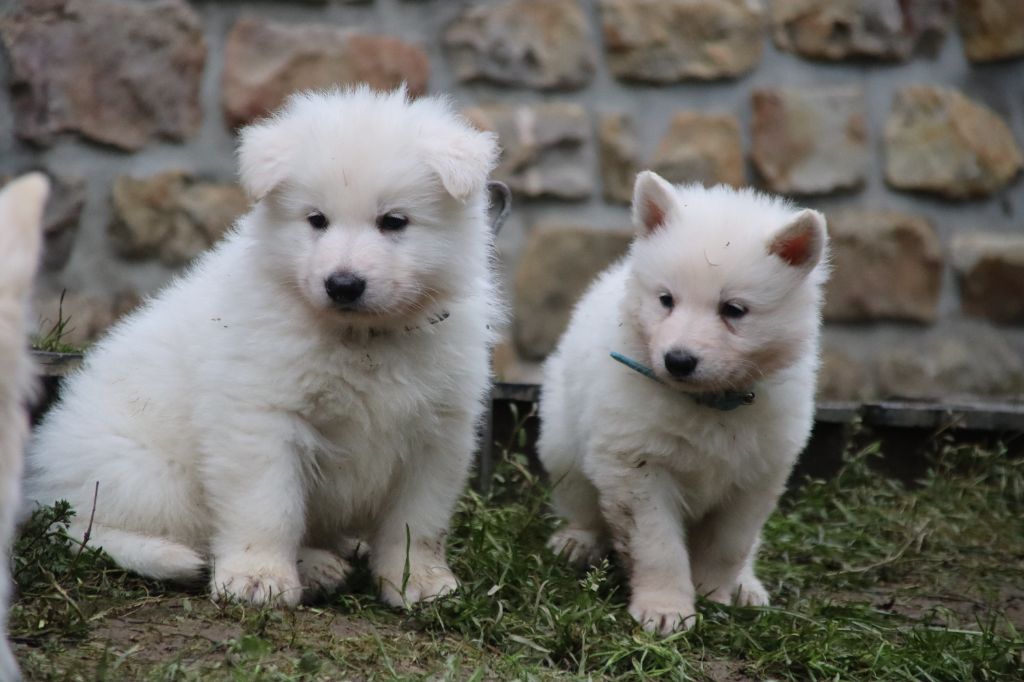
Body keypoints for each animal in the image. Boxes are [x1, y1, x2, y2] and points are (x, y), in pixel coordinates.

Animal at [24, 89, 503, 606]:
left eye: (394, 222)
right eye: (316, 220)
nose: (343, 285)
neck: (362, 337)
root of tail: (46, 488)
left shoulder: (439, 429)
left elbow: (418, 519)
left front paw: (418, 580)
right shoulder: (261, 417)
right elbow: (269, 507)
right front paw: (259, 579)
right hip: (152, 481)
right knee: (119, 530)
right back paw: (306, 566)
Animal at [540, 168, 827, 630]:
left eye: (733, 309)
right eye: (666, 300)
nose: (678, 361)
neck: (708, 404)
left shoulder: (756, 475)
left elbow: (729, 544)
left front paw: (715, 595)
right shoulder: (636, 465)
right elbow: (656, 545)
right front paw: (664, 610)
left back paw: (747, 585)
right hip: (563, 442)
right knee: (582, 502)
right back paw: (577, 541)